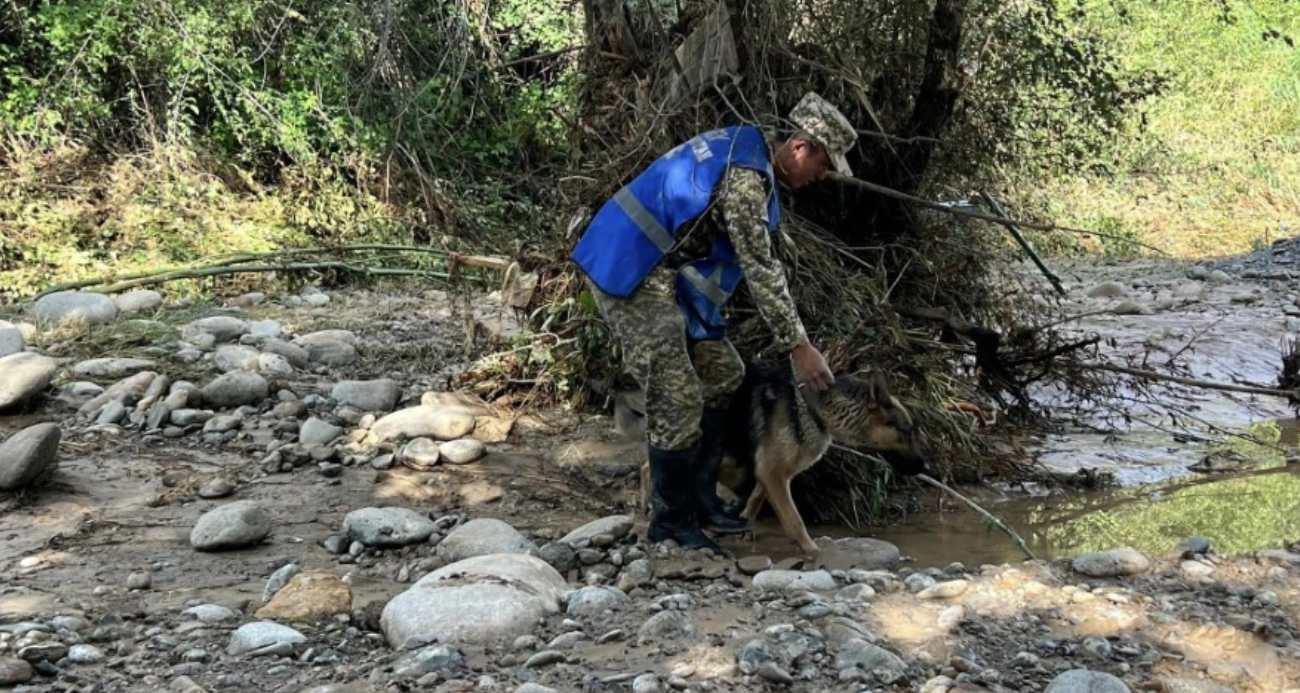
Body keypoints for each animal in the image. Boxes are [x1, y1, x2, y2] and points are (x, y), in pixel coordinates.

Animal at [624, 361, 930, 551]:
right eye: (907, 431)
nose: (926, 466)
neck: (815, 411)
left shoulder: (770, 473)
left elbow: (756, 500)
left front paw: (744, 527)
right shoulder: (774, 473)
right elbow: (794, 520)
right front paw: (812, 550)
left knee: (650, 463)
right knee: (651, 463)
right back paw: (651, 504)